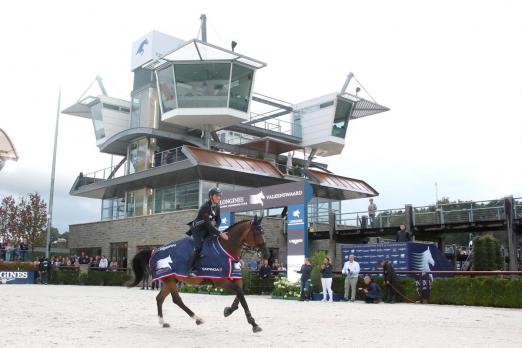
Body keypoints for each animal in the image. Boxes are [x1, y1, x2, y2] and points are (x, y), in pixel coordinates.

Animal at [128, 216, 268, 334]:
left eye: (263, 232)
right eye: (257, 232)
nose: (266, 255)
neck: (226, 248)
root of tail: (154, 251)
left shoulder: (236, 278)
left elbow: (240, 294)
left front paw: (229, 310)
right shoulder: (221, 281)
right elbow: (241, 295)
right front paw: (254, 324)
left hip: (171, 280)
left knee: (160, 298)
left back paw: (163, 322)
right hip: (170, 280)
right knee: (176, 300)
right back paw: (197, 318)